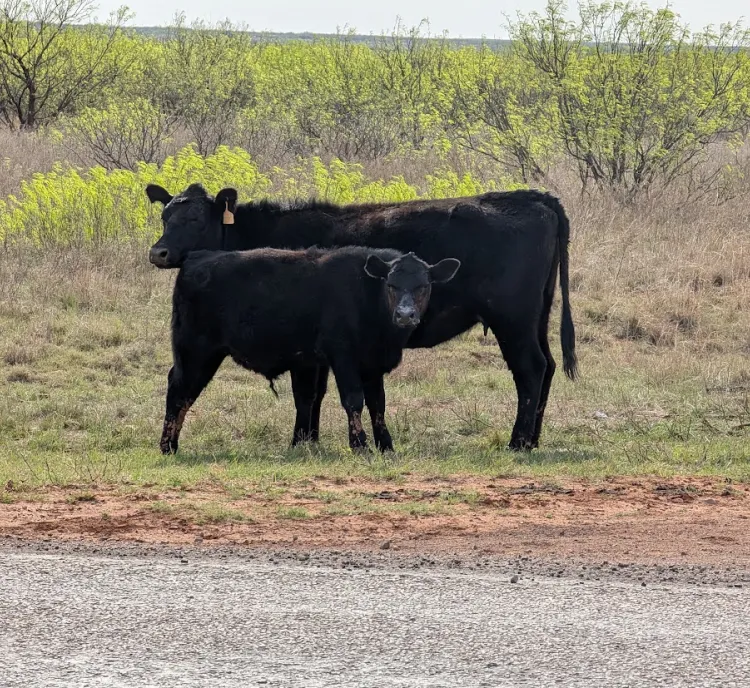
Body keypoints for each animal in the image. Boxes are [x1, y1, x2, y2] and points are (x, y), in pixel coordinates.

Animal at [160, 246, 460, 454]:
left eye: (424, 285)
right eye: (391, 284)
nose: (405, 315)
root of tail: (196, 256)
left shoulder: (372, 364)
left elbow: (377, 404)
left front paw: (386, 445)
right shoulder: (343, 356)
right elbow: (354, 400)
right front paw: (360, 445)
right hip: (195, 350)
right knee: (180, 390)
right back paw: (168, 446)